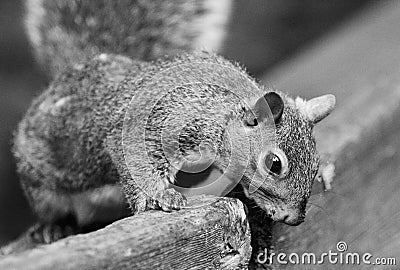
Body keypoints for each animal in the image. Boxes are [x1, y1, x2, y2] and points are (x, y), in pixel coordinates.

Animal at [4, 0, 336, 251]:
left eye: (314, 164)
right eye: (274, 164)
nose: (295, 218)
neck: (219, 111)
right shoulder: (154, 123)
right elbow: (135, 160)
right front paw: (158, 197)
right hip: (44, 172)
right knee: (49, 200)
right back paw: (54, 225)